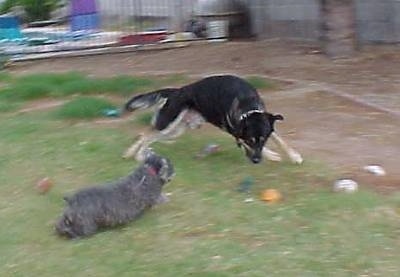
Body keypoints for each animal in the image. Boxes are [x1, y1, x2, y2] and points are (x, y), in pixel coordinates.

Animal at [123, 74, 302, 164]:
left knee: (147, 134)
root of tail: (177, 91)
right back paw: (137, 155)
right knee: (146, 134)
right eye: (249, 140)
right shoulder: (236, 131)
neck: (246, 103)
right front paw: (271, 155)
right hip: (169, 124)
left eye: (264, 139)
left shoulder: (266, 123)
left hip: (176, 130)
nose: (256, 161)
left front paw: (293, 156)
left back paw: (133, 152)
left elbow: (281, 141)